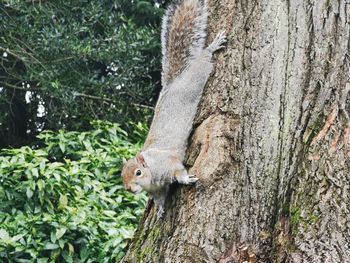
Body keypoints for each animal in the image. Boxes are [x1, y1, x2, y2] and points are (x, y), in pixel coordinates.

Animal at [121, 0, 226, 219]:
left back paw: (212, 47)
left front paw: (186, 180)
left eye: (138, 172)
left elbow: (179, 172)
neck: (152, 174)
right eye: (121, 175)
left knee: (203, 61)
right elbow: (161, 197)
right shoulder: (157, 189)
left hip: (195, 80)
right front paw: (160, 210)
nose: (129, 189)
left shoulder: (169, 164)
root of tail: (172, 84)